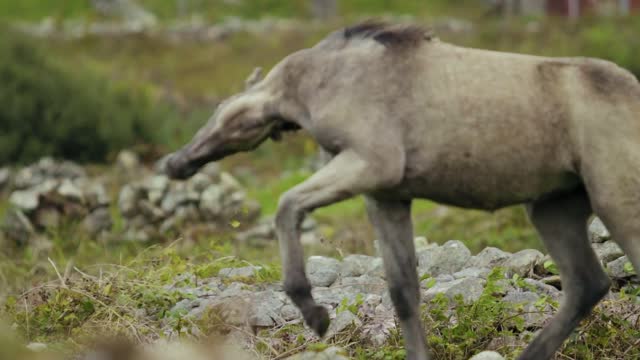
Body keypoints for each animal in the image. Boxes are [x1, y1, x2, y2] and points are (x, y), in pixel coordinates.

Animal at [162, 21, 640, 358]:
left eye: (225, 110)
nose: (176, 161)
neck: (319, 84)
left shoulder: (371, 161)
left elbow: (286, 206)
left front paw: (315, 313)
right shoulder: (386, 193)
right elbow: (404, 292)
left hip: (614, 197)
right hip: (553, 206)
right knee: (587, 283)